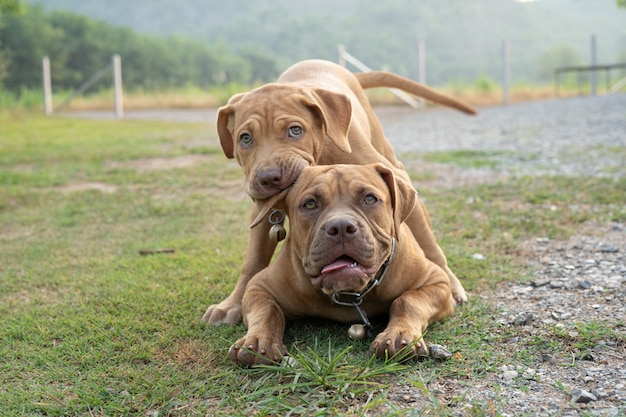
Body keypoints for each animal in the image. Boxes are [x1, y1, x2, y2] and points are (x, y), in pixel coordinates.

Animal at [205, 58, 472, 324]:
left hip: (386, 152)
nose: (270, 177)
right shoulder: (263, 212)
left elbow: (429, 245)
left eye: (295, 130)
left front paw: (450, 285)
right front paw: (233, 303)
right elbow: (253, 260)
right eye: (245, 139)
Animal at [227, 162, 450, 364]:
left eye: (369, 198)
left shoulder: (437, 282)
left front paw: (398, 335)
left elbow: (407, 301)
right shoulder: (259, 286)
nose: (341, 226)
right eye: (310, 204)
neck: (350, 294)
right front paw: (258, 341)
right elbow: (268, 310)